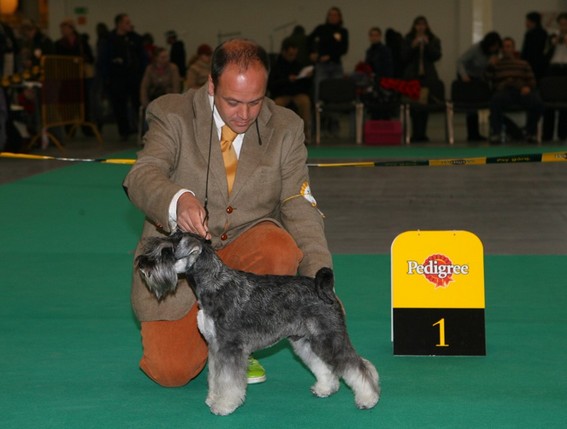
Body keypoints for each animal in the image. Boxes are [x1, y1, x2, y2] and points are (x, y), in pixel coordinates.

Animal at [136, 230, 380, 416]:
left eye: (167, 252)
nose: (142, 264)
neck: (214, 283)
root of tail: (326, 290)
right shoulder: (215, 348)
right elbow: (215, 376)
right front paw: (213, 398)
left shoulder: (229, 347)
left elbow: (228, 380)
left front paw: (224, 405)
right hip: (306, 341)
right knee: (324, 364)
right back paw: (325, 388)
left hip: (329, 337)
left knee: (358, 365)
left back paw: (368, 398)